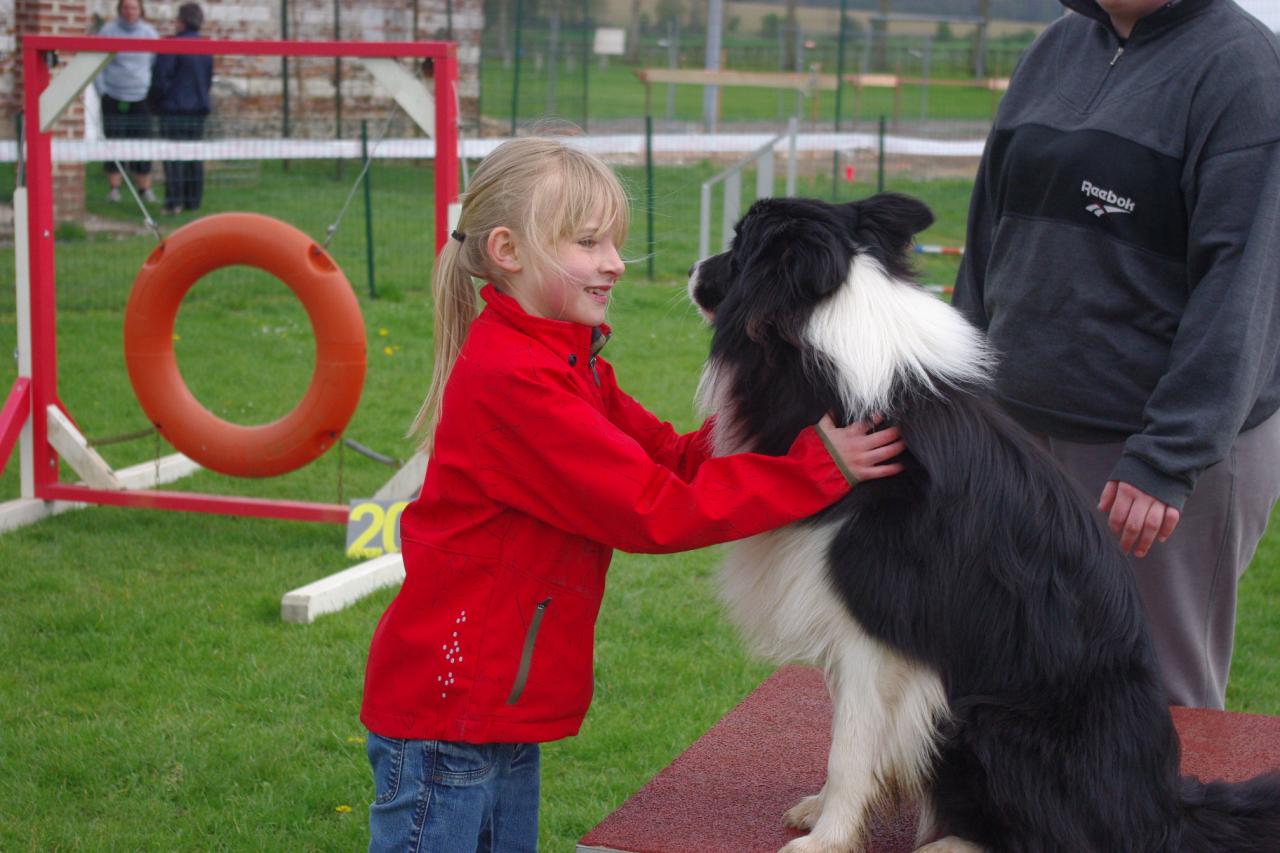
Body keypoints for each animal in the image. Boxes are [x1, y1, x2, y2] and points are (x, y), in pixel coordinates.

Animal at [691, 194, 1280, 850]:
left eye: (739, 247)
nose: (691, 271)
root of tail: (1163, 811)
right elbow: (853, 737)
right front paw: (823, 811)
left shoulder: (881, 627)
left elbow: (850, 745)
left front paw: (826, 839)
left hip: (989, 717)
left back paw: (951, 842)